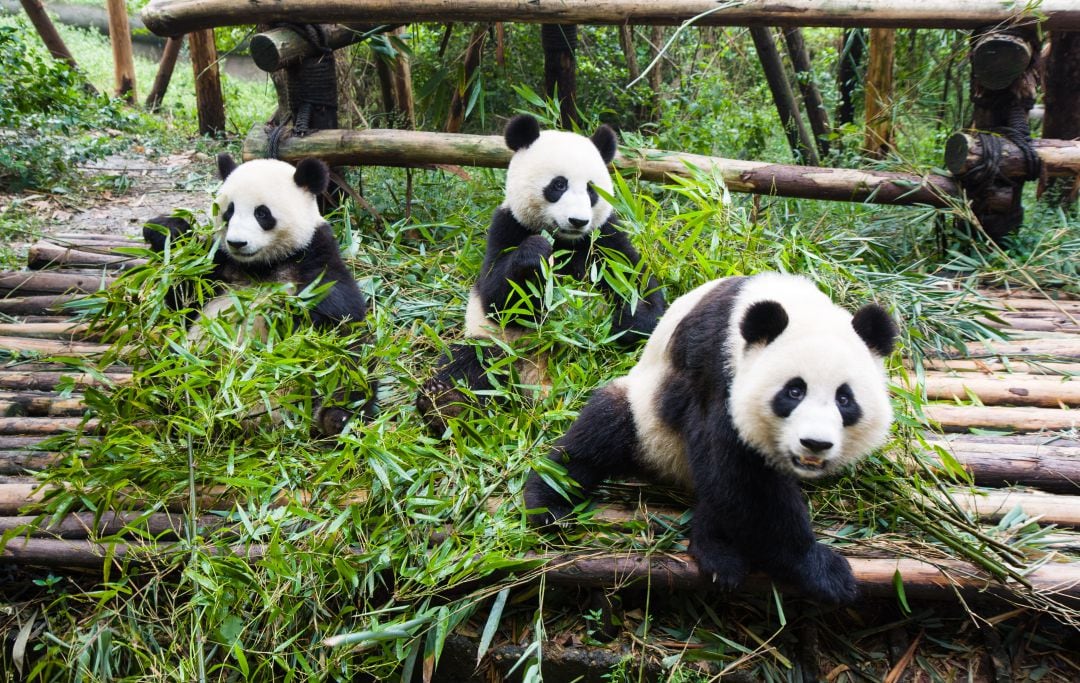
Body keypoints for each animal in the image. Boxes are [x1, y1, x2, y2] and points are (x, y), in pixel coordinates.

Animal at [143, 153, 375, 433]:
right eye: (229, 211)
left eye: (262, 213)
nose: (237, 243)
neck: (261, 266)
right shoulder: (218, 265)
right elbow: (183, 296)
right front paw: (166, 230)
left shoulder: (315, 258)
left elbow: (340, 319)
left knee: (351, 375)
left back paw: (336, 419)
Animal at [416, 114, 667, 433]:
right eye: (558, 184)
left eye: (591, 190)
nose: (578, 220)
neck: (565, 240)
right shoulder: (506, 225)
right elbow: (496, 297)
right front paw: (535, 254)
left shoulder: (605, 237)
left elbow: (638, 285)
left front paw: (622, 321)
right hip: (500, 348)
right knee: (470, 361)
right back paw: (445, 404)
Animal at [524, 273, 898, 603]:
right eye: (794, 391)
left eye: (844, 399)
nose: (815, 444)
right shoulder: (716, 369)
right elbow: (740, 475)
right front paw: (823, 569)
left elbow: (733, 483)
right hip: (646, 420)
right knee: (598, 435)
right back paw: (549, 503)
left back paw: (715, 548)